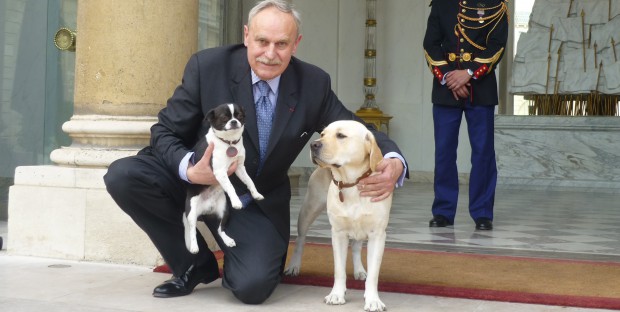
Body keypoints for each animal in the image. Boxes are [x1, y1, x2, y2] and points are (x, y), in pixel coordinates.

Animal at [183, 103, 262, 252]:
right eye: (224, 118)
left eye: (239, 116)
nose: (234, 121)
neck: (229, 142)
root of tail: (206, 209)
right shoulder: (220, 172)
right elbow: (230, 187)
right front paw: (236, 201)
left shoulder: (240, 168)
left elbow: (250, 181)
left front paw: (256, 194)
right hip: (191, 213)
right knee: (192, 230)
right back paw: (194, 246)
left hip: (225, 211)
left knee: (220, 230)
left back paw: (228, 240)